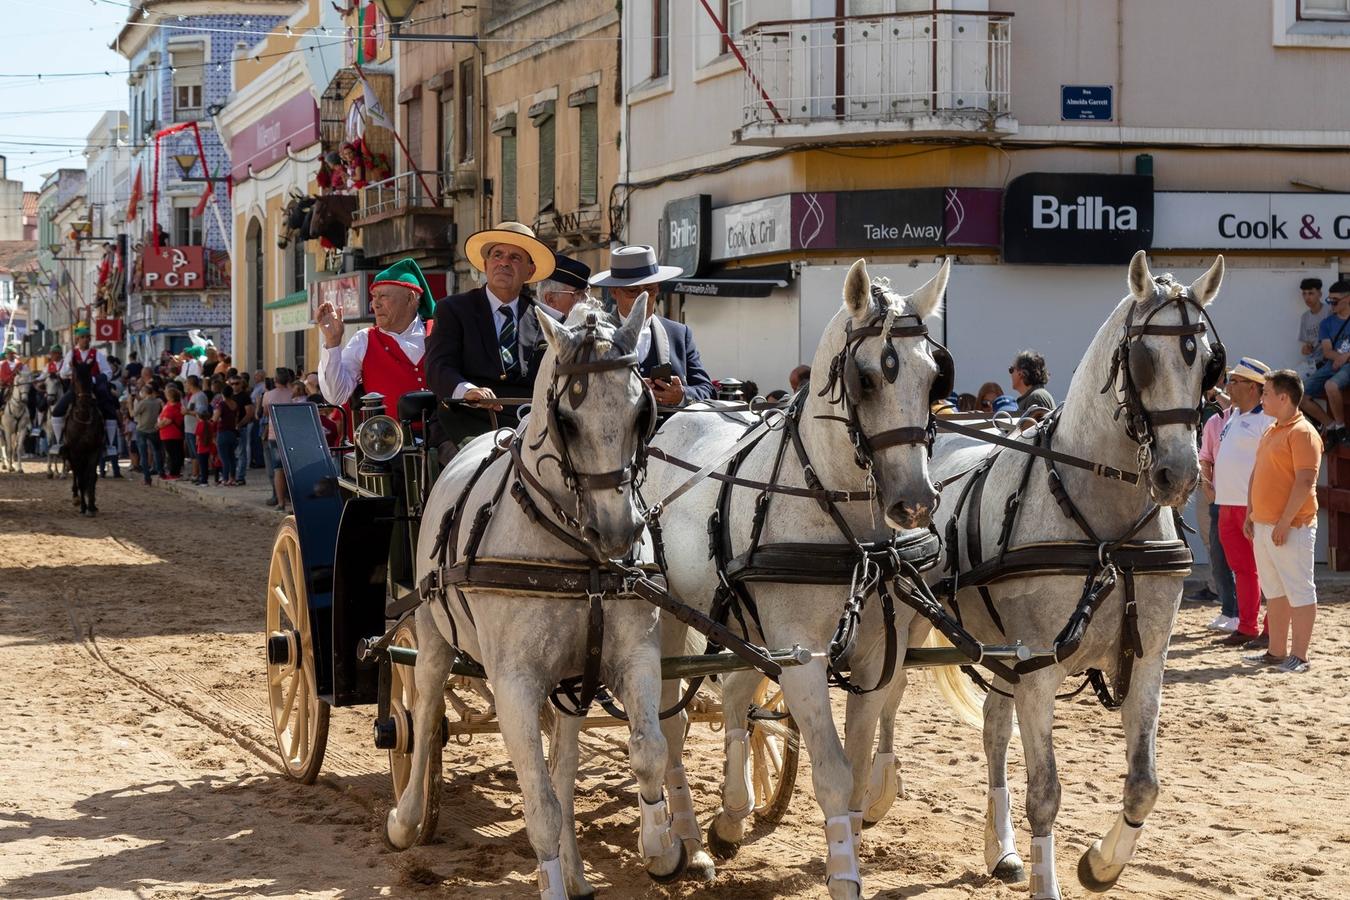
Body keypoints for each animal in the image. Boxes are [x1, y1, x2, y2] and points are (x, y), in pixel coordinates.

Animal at [63, 358, 103, 512]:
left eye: (90, 379)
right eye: (75, 378)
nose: (85, 402)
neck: (84, 418)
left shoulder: (94, 450)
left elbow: (91, 477)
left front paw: (91, 506)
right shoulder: (75, 451)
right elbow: (80, 477)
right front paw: (83, 507)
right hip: (70, 453)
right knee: (76, 472)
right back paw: (76, 498)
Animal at [388, 295, 685, 895]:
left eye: (642, 411)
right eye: (565, 420)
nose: (618, 532)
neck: (575, 556)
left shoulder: (633, 658)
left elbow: (647, 752)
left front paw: (661, 847)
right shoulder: (515, 683)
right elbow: (540, 803)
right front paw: (550, 880)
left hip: (572, 678)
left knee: (564, 762)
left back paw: (576, 869)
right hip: (433, 634)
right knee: (425, 711)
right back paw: (407, 819)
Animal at [639, 256, 950, 895]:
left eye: (934, 379)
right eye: (865, 379)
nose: (914, 503)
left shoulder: (875, 658)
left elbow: (856, 766)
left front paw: (846, 844)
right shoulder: (802, 655)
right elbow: (832, 771)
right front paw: (845, 878)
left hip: (740, 623)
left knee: (737, 703)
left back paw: (731, 817)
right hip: (676, 618)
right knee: (672, 727)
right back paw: (685, 844)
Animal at [869, 252, 1231, 900]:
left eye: (1207, 362)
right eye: (1143, 358)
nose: (1180, 475)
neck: (1107, 532)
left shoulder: (1145, 655)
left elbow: (1144, 782)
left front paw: (1100, 864)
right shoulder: (1039, 661)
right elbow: (1046, 792)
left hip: (997, 644)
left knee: (992, 728)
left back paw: (1003, 850)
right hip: (910, 619)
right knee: (887, 694)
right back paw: (875, 789)